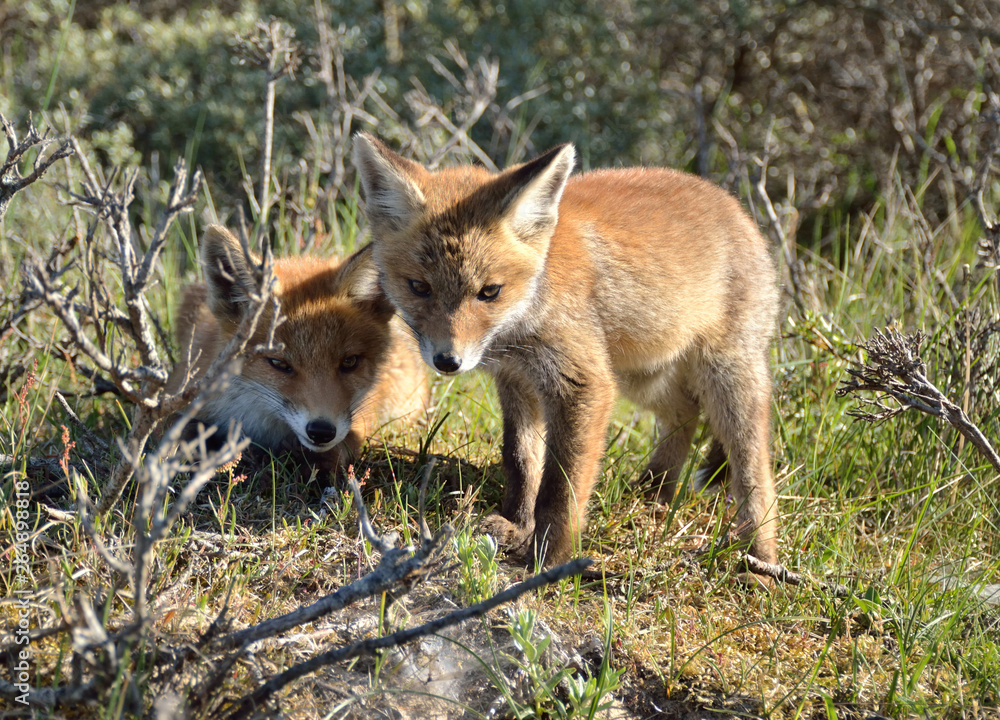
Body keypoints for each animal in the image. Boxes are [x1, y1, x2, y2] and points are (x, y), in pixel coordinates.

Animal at [168, 224, 428, 470]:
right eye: (278, 363)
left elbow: (339, 450)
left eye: (349, 362)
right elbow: (180, 430)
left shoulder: (359, 417)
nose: (321, 431)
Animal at [352, 133, 780, 568]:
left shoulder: (583, 383)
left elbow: (561, 485)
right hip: (641, 378)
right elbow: (522, 461)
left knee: (755, 471)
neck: (523, 316)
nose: (448, 361)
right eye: (419, 287)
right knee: (685, 412)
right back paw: (654, 492)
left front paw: (548, 557)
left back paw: (759, 558)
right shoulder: (517, 380)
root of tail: (735, 206)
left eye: (489, 292)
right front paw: (518, 523)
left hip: (724, 378)